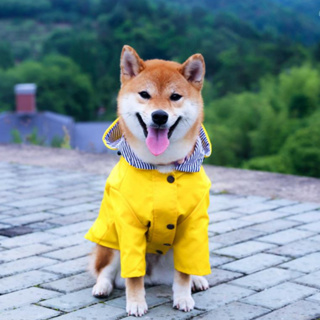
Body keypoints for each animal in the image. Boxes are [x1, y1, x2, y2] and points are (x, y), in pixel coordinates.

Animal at [85, 45, 212, 318]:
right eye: (145, 94)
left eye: (175, 97)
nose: (160, 116)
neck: (162, 168)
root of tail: (154, 276)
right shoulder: (128, 224)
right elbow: (133, 277)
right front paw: (135, 303)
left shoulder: (192, 224)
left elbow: (183, 273)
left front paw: (183, 297)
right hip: (111, 243)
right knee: (105, 271)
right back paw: (102, 287)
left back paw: (197, 279)